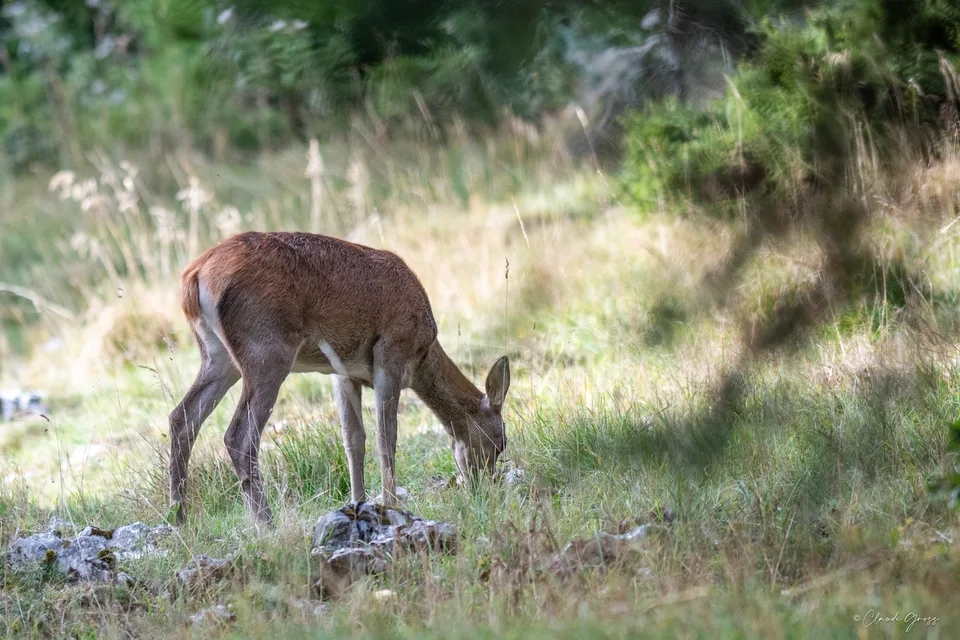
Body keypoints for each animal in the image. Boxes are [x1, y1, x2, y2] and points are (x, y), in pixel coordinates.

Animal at [169, 231, 510, 526]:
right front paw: (391, 506)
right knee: (238, 435)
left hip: (217, 356)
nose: (483, 487)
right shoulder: (391, 355)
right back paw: (265, 524)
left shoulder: (344, 373)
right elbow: (386, 438)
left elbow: (353, 440)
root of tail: (193, 277)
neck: (422, 355)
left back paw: (179, 520)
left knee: (181, 417)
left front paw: (358, 503)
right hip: (267, 350)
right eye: (499, 442)